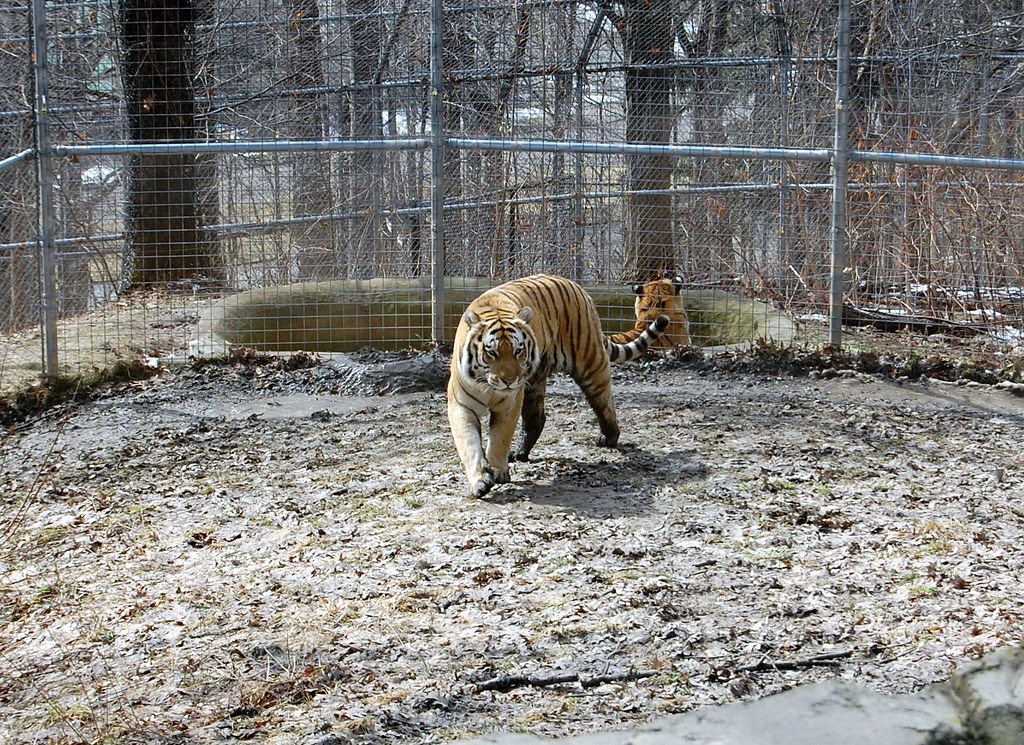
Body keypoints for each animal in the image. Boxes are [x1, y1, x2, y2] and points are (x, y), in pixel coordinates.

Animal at [447, 273, 669, 498]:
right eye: (491, 353)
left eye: (518, 351)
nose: (509, 380)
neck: (488, 386)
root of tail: (576, 286)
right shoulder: (462, 405)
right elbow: (469, 444)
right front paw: (480, 481)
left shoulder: (509, 404)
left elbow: (499, 439)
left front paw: (498, 472)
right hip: (535, 383)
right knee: (536, 419)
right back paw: (520, 453)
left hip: (590, 363)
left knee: (604, 403)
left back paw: (609, 437)